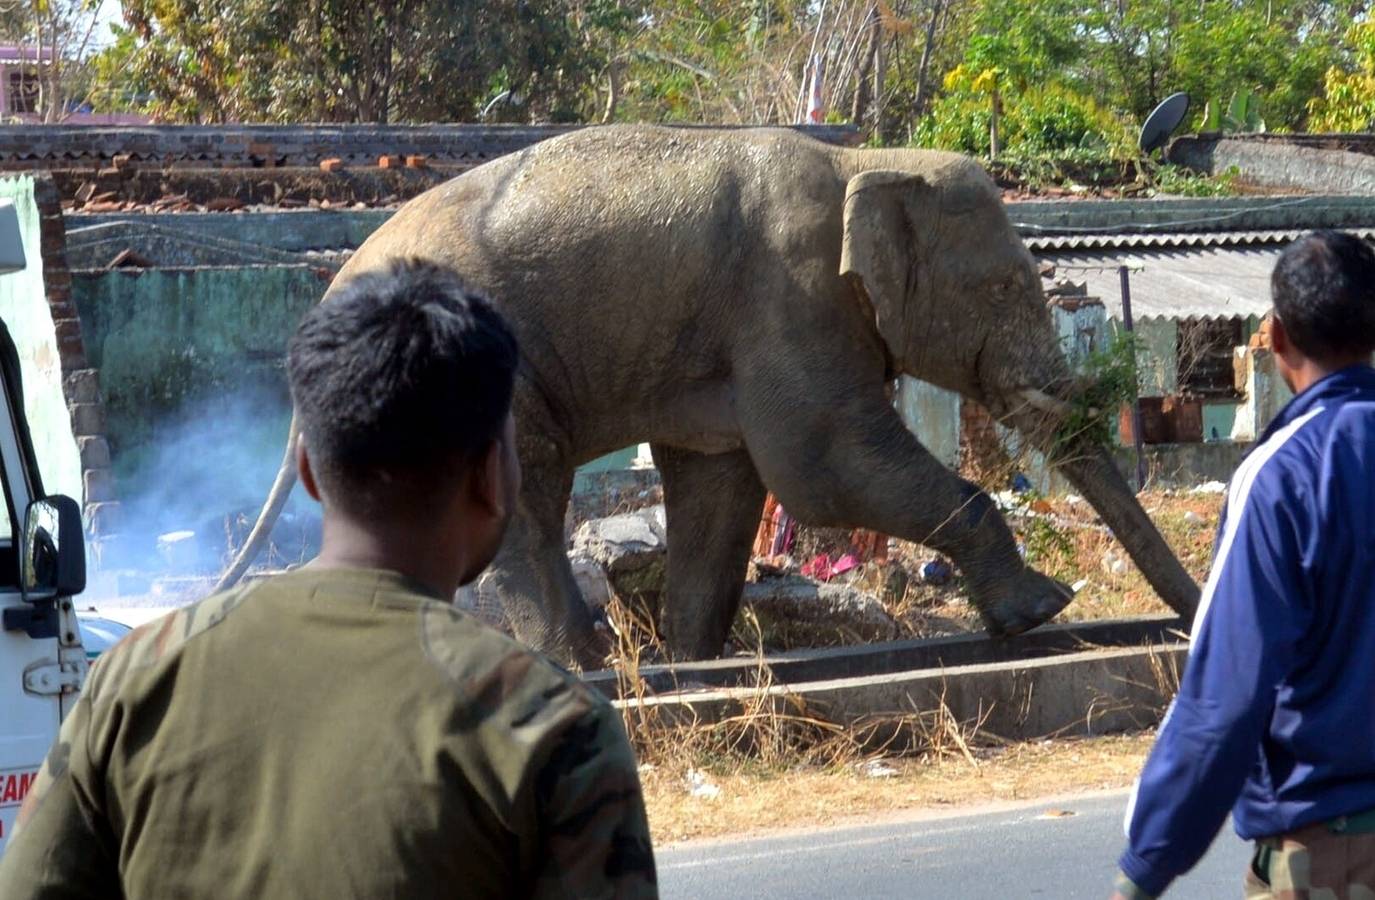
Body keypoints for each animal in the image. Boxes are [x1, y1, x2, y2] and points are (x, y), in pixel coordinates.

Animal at [221, 124, 1200, 668]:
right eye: (1000, 287)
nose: (1185, 628)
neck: (866, 159)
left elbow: (723, 483)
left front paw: (694, 657)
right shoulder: (789, 295)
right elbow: (822, 467)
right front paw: (1043, 608)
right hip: (467, 376)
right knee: (526, 497)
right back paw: (583, 670)